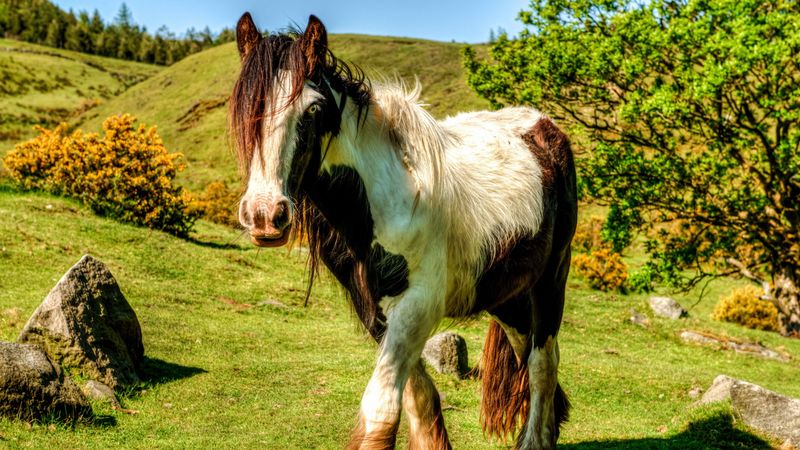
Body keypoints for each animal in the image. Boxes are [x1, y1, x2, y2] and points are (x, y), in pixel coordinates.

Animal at [229, 12, 577, 450]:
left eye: (313, 109)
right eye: (245, 107)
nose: (264, 215)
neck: (388, 195)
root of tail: (545, 127)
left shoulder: (417, 306)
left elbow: (380, 410)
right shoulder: (377, 312)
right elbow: (418, 399)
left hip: (550, 282)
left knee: (543, 362)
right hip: (508, 296)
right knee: (527, 357)